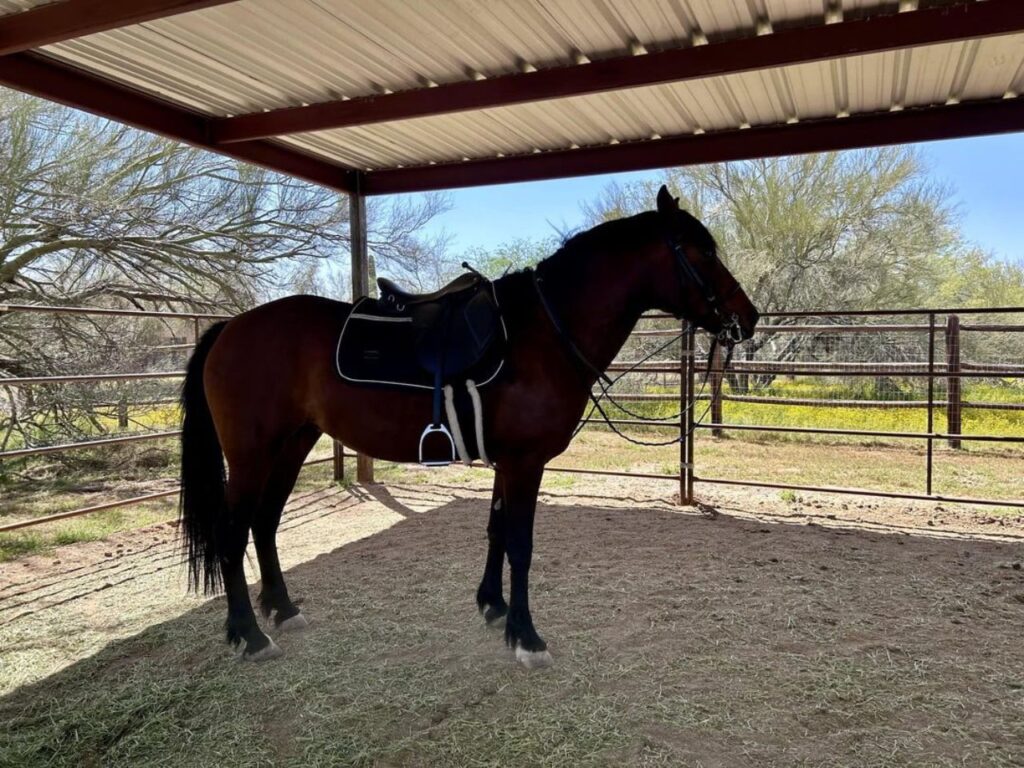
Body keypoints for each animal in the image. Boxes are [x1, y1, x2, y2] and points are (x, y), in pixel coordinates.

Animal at [179, 185, 759, 667]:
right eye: (703, 252)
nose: (749, 318)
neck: (543, 333)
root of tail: (230, 327)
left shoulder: (508, 462)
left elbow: (496, 531)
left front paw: (493, 607)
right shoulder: (525, 463)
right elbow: (520, 544)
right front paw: (527, 638)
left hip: (293, 445)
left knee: (265, 524)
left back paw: (282, 609)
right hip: (252, 455)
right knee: (233, 533)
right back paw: (248, 634)